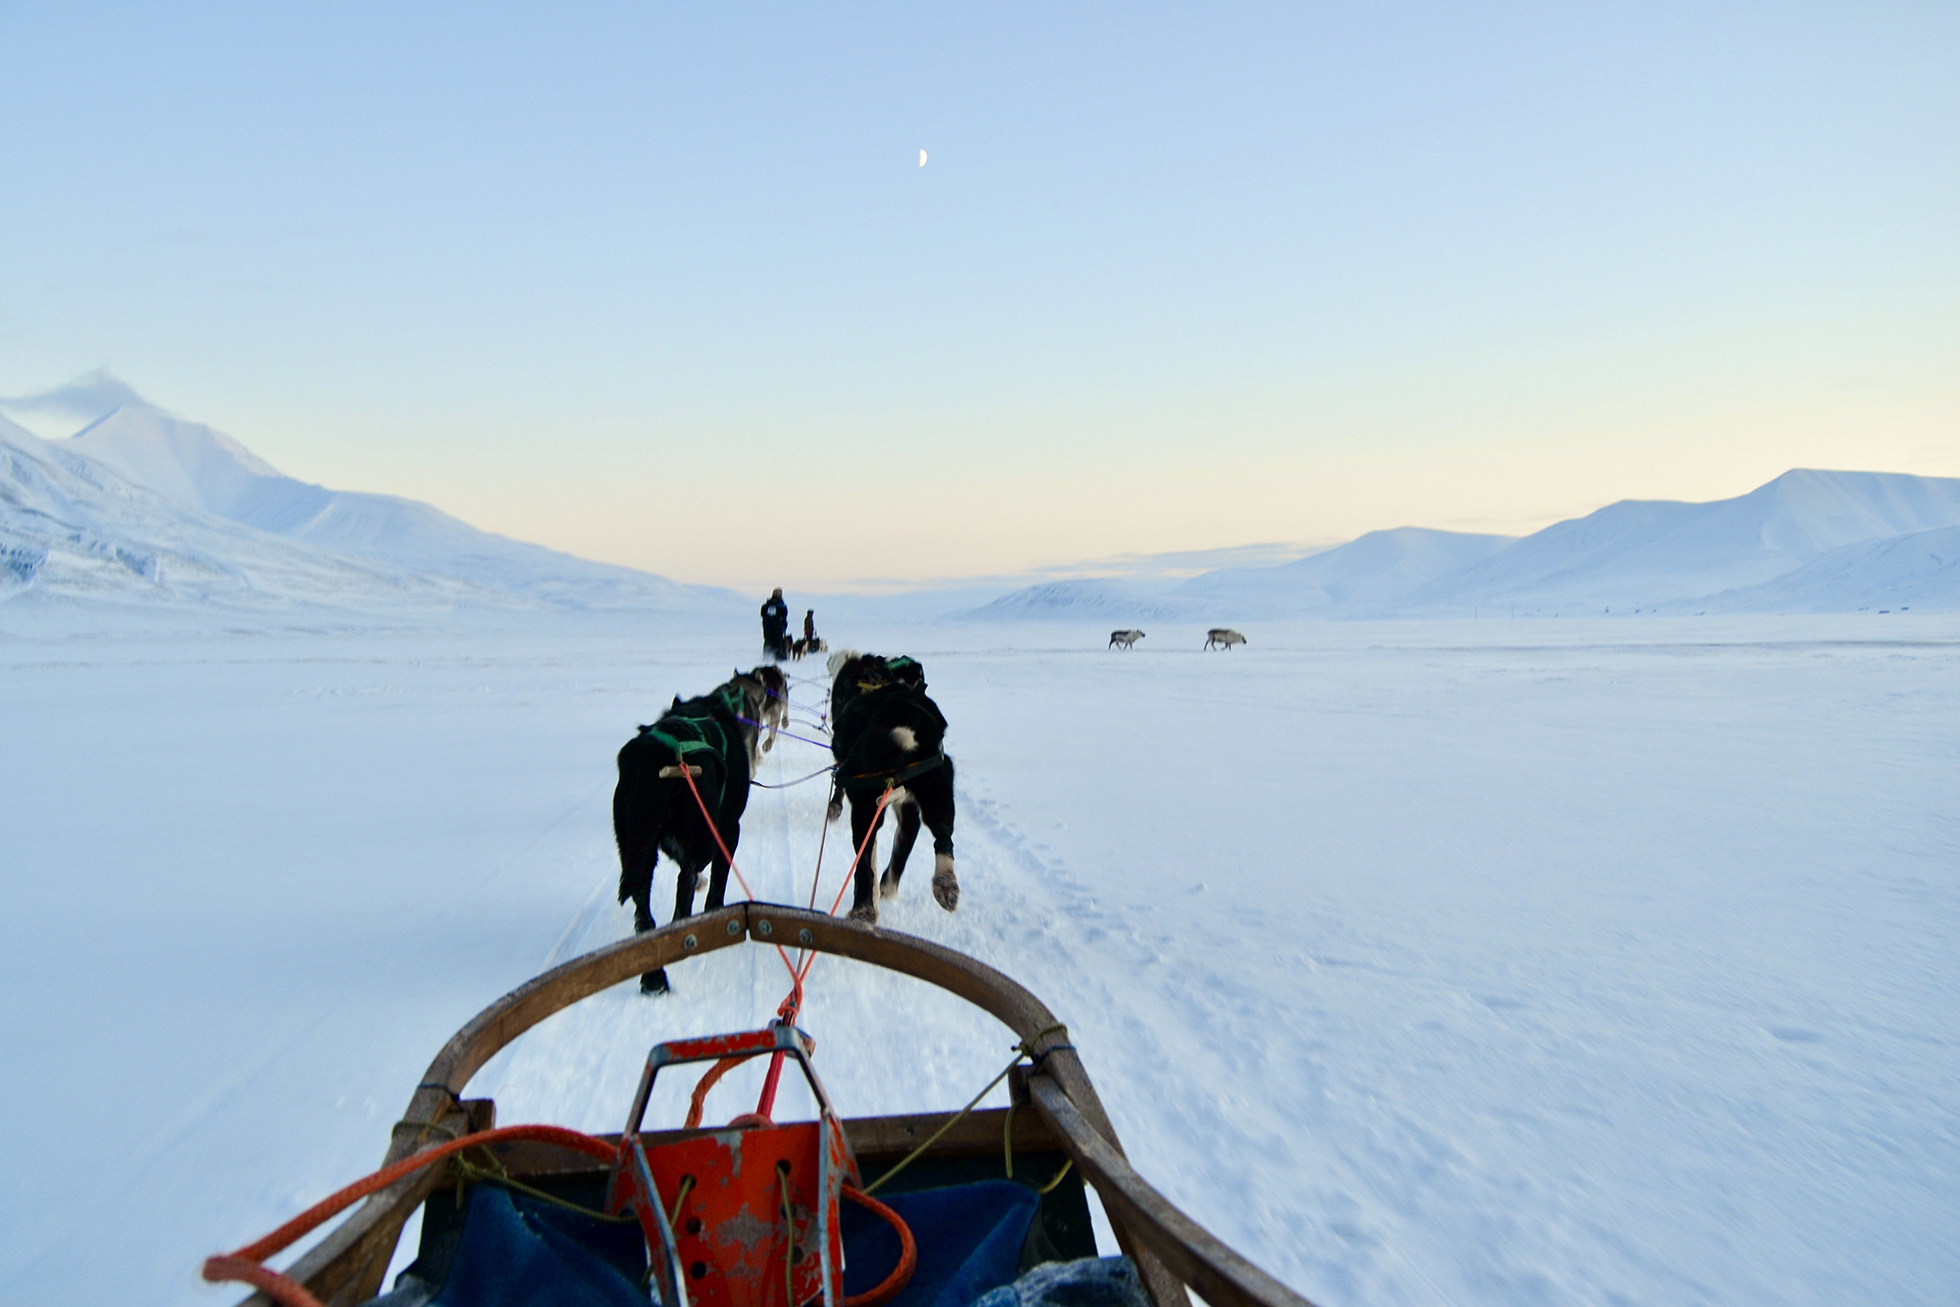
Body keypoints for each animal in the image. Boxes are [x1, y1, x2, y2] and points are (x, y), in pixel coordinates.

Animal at [619, 666, 787, 991]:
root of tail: (661, 755)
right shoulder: (729, 831)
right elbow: (717, 884)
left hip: (638, 850)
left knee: (644, 915)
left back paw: (653, 977)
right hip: (706, 837)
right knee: (684, 890)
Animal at [819, 650, 956, 920]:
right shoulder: (909, 809)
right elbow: (901, 851)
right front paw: (888, 888)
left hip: (864, 809)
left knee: (863, 868)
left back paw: (863, 910)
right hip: (939, 791)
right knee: (943, 835)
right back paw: (945, 884)